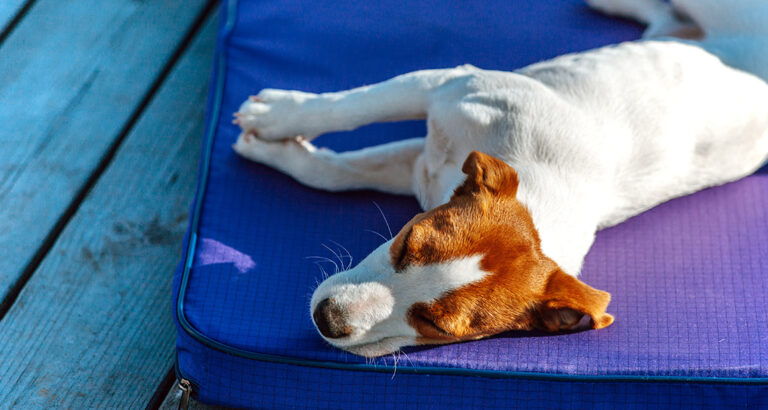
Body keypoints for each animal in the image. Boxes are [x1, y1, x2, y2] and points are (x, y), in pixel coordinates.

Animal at [230, 0, 768, 358]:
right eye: (406, 244)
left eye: (436, 327)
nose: (327, 318)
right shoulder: (446, 85)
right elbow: (351, 111)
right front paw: (278, 118)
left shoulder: (419, 164)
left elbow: (336, 171)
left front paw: (276, 142)